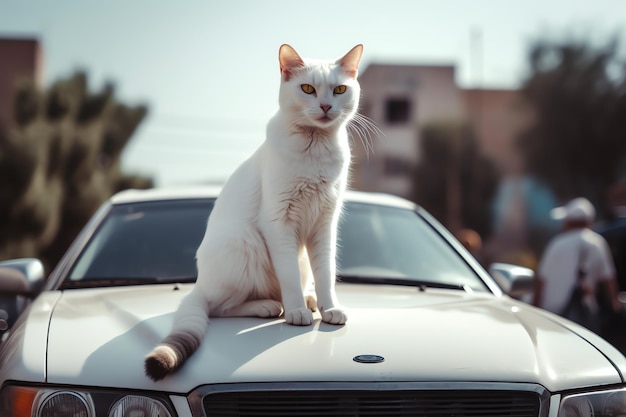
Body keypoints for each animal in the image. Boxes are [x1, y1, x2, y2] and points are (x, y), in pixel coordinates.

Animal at [144, 43, 364, 380]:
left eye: (340, 90)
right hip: (243, 244)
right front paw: (297, 313)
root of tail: (198, 284)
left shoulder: (324, 224)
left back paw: (310, 300)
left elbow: (326, 274)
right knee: (220, 307)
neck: (315, 148)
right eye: (308, 89)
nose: (326, 106)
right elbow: (288, 275)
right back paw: (271, 306)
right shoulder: (278, 222)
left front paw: (329, 309)